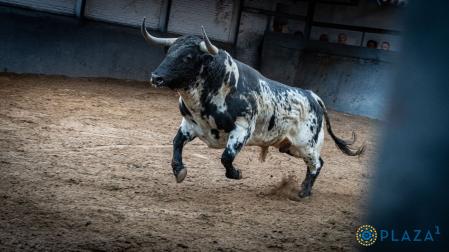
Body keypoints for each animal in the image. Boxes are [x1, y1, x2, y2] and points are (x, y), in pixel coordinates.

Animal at [140, 18, 364, 198]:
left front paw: (236, 173)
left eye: (187, 57)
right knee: (320, 162)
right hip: (291, 146)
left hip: (306, 144)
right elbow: (176, 143)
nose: (156, 77)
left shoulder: (242, 129)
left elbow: (226, 157)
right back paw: (304, 188)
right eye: (169, 52)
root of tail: (312, 95)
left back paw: (304, 192)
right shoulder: (189, 125)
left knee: (316, 164)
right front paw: (179, 171)